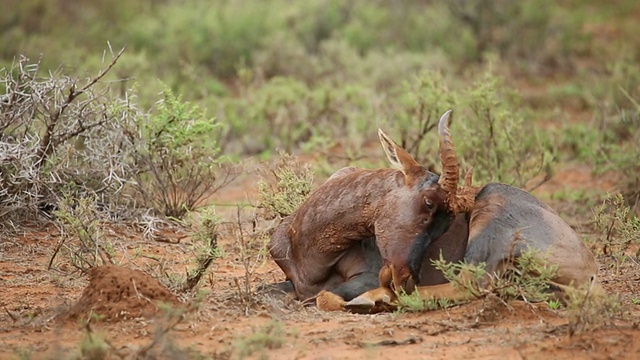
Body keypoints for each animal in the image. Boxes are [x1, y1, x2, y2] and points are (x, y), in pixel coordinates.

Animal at [268, 110, 596, 312]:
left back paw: (375, 300)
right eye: (428, 203)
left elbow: (325, 297)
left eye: (448, 223)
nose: (405, 278)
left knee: (470, 284)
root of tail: (590, 268)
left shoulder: (368, 275)